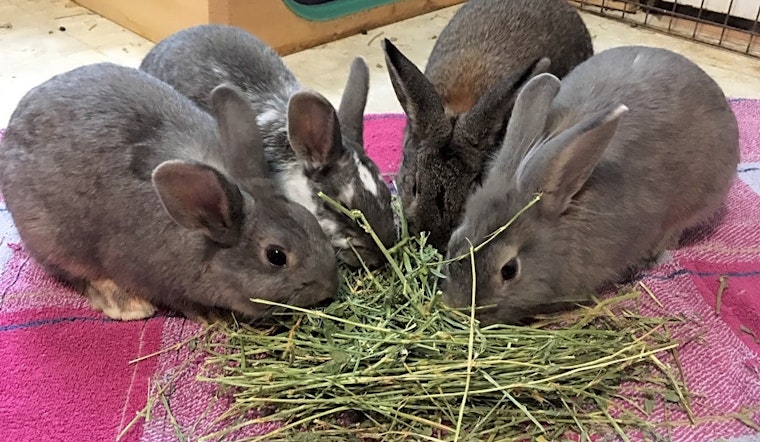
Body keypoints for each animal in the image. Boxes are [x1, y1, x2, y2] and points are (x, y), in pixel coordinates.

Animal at [0, 62, 339, 323]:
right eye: (276, 256)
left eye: (308, 218)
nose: (329, 286)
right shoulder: (153, 279)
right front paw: (212, 317)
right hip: (51, 239)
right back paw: (127, 305)